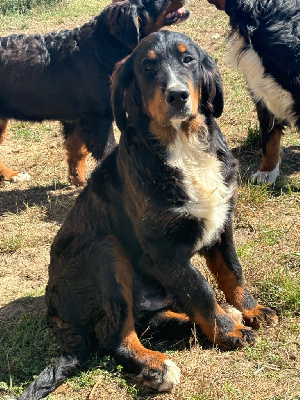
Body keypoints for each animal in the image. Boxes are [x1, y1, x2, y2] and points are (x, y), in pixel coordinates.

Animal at [0, 0, 190, 185]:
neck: (102, 47)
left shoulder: (77, 120)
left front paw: (78, 179)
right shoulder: (97, 120)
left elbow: (77, 151)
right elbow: (106, 152)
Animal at [17, 31, 278, 400]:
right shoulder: (163, 250)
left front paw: (250, 310)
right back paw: (157, 367)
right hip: (105, 249)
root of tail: (54, 312)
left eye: (188, 60)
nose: (177, 95)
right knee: (115, 335)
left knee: (152, 321)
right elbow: (200, 288)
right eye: (147, 66)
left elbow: (232, 271)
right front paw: (229, 332)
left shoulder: (222, 221)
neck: (182, 145)